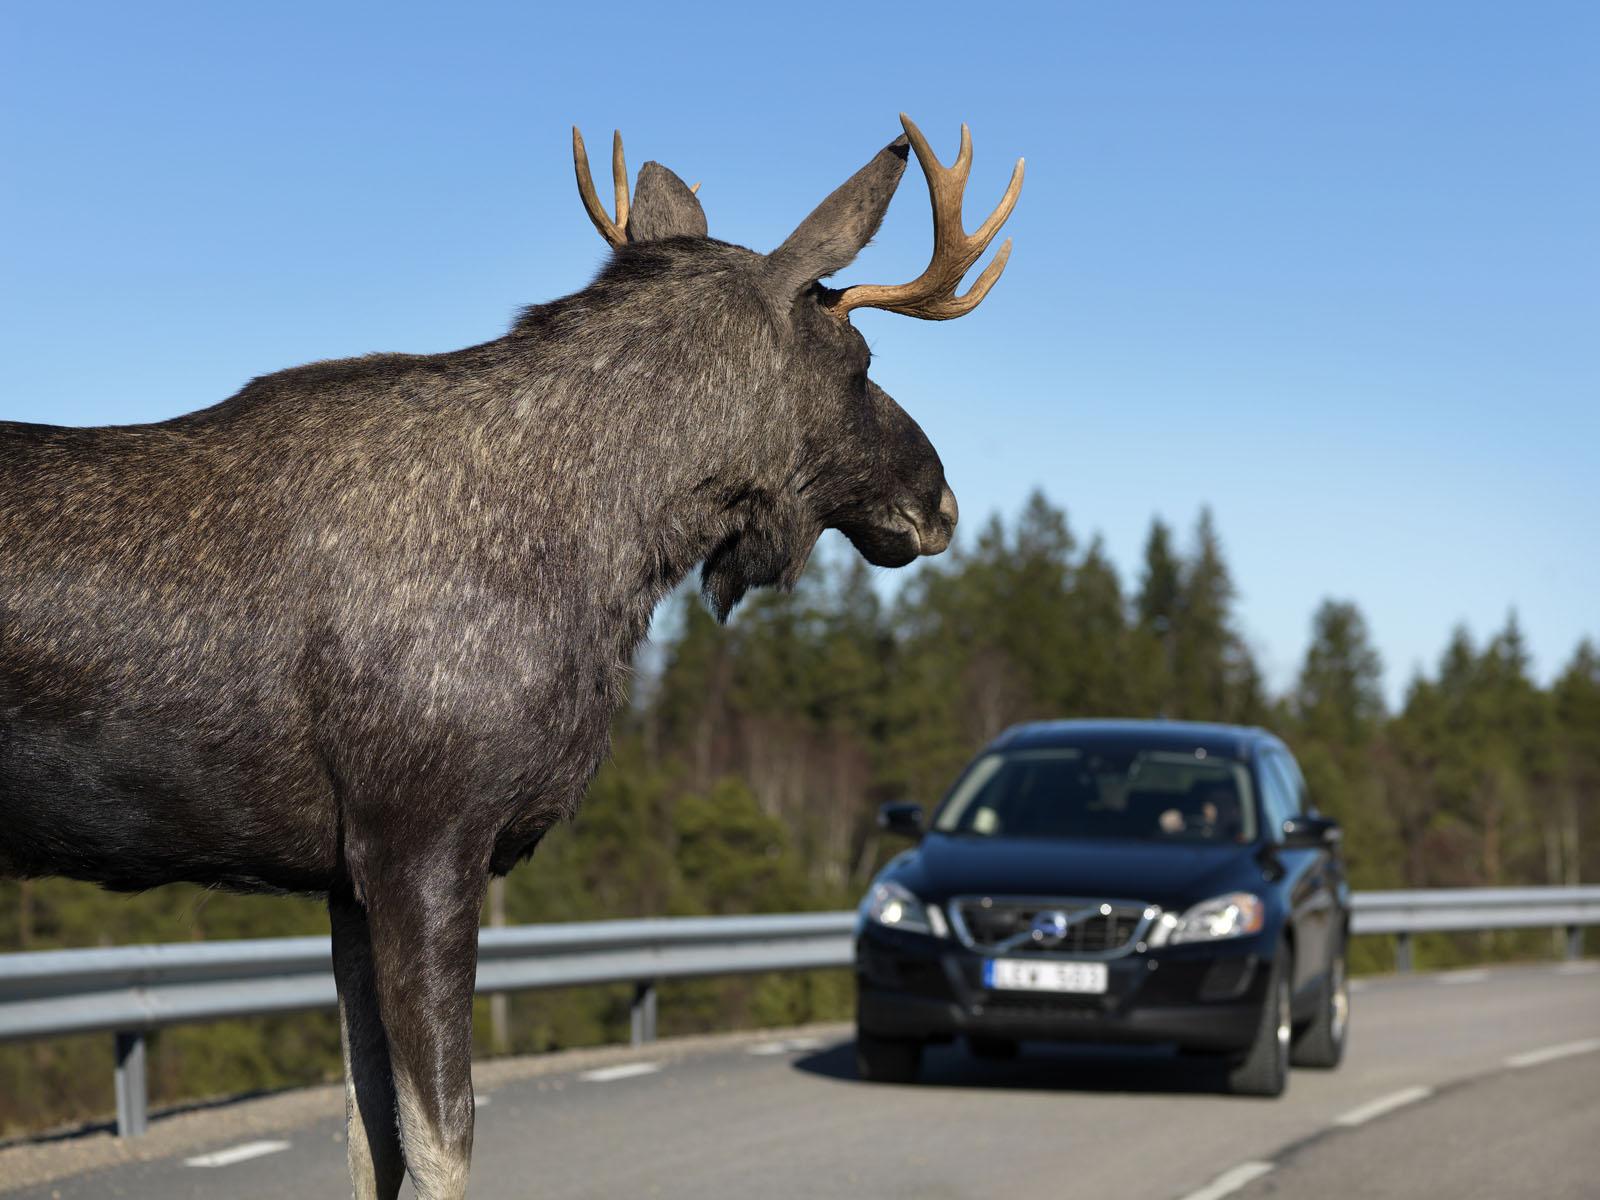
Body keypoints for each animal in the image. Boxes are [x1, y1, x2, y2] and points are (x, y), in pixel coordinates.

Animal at [0, 115, 1024, 1200]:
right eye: (861, 360)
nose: (940, 500)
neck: (602, 558)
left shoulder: (343, 877)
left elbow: (371, 1141)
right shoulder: (423, 837)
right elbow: (440, 1141)